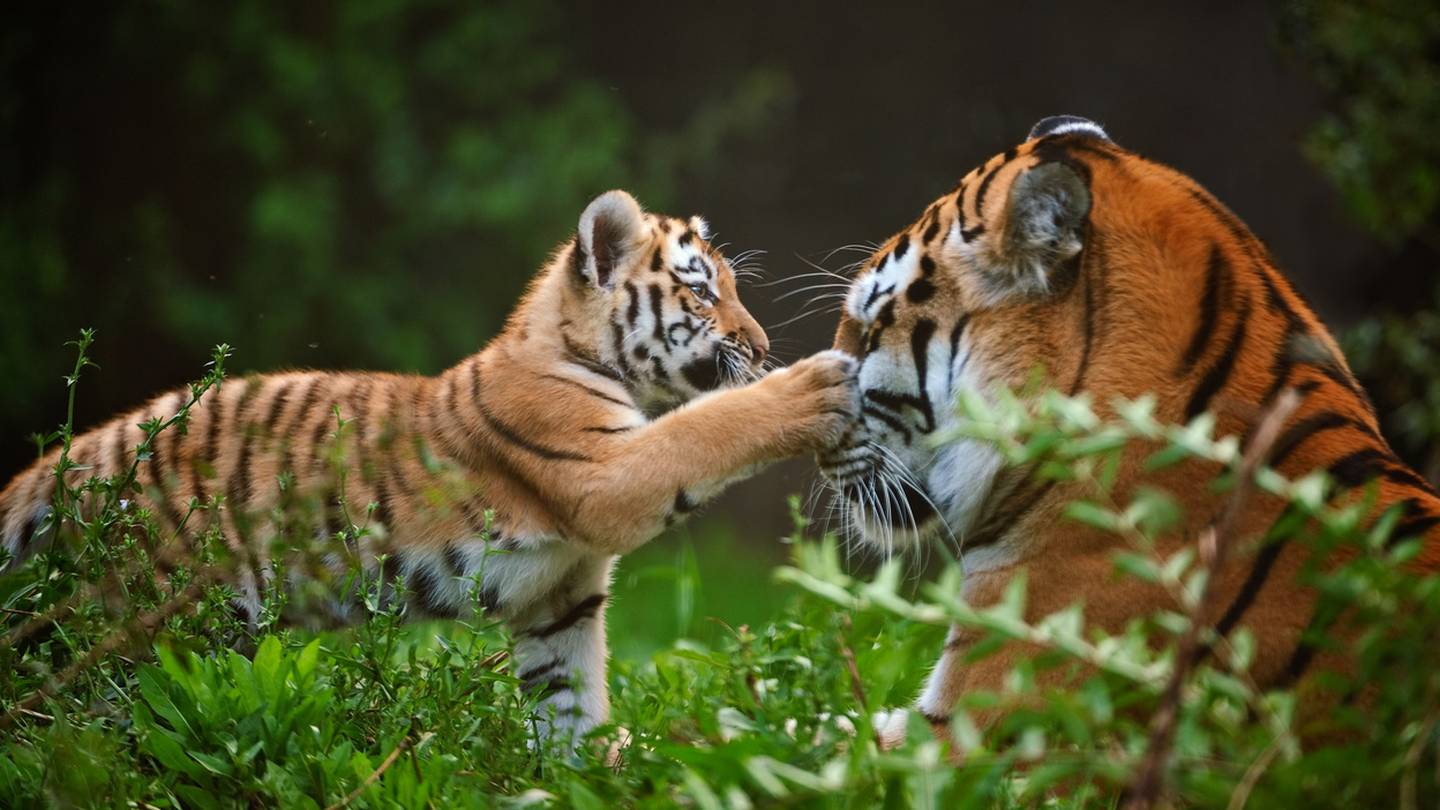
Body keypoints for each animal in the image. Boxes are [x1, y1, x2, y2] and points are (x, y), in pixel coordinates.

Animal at [0, 187, 852, 737]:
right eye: (702, 293)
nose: (763, 348)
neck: (578, 351)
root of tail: (85, 453)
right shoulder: (606, 474)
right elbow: (708, 428)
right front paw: (812, 384)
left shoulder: (563, 596)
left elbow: (573, 705)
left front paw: (592, 779)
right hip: (146, 624)